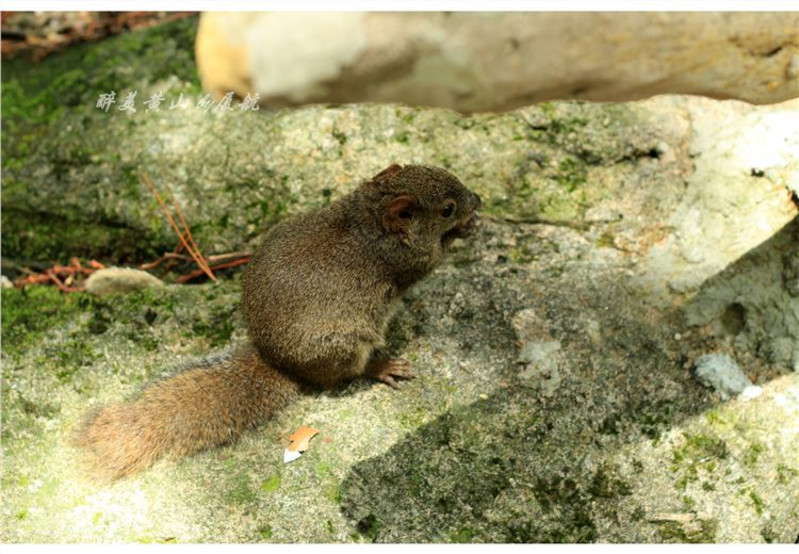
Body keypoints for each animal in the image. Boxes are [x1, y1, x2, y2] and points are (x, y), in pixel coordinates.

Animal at [76, 162, 482, 476]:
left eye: (448, 173)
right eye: (446, 208)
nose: (478, 200)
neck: (368, 219)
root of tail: (281, 364)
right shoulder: (406, 262)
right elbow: (433, 260)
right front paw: (464, 230)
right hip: (346, 343)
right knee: (347, 374)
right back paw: (381, 367)